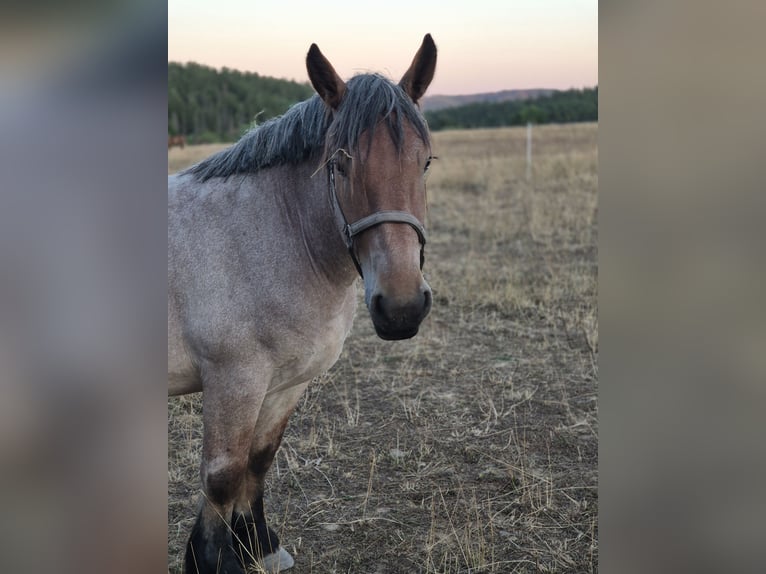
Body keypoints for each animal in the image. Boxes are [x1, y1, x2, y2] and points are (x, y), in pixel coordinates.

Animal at [168, 34, 437, 573]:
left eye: (425, 162)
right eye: (339, 163)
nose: (401, 307)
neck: (269, 236)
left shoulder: (285, 384)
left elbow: (258, 460)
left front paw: (259, 546)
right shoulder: (233, 382)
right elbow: (223, 475)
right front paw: (215, 560)